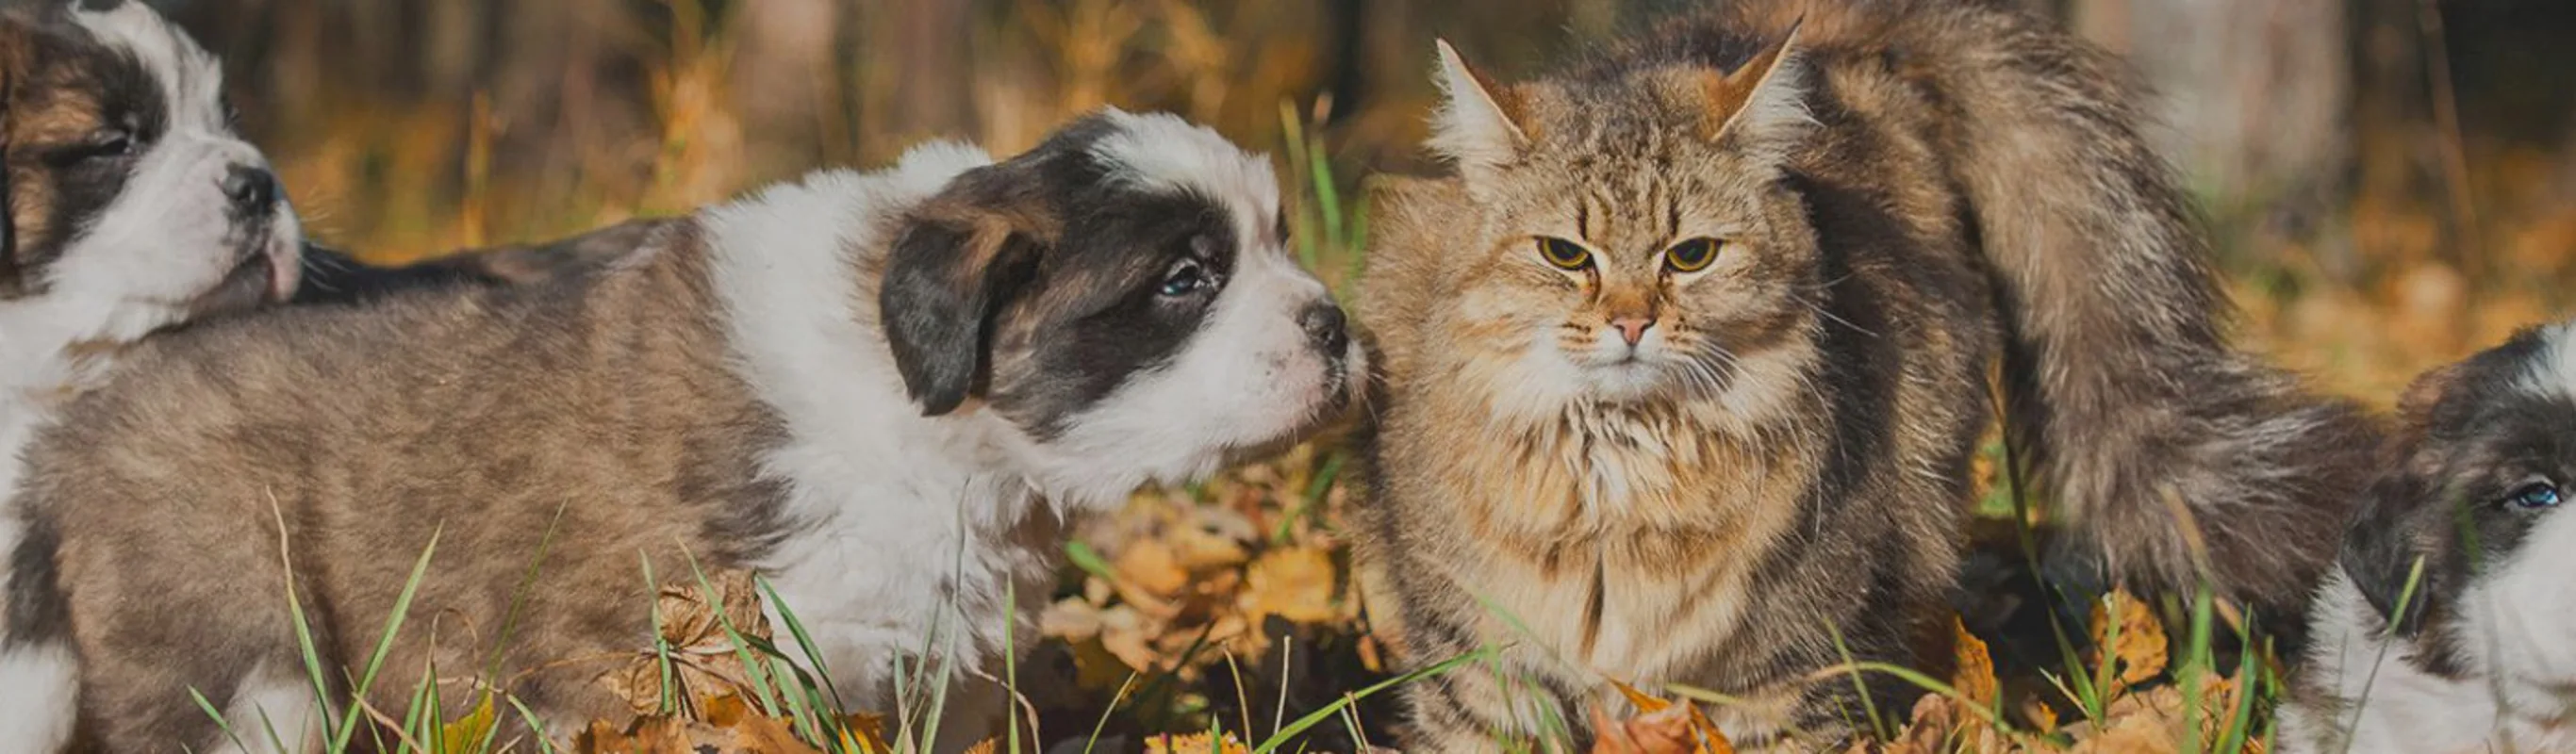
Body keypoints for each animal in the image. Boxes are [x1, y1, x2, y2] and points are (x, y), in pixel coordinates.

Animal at [5, 108, 1370, 746]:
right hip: (241, 656)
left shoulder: (941, 657)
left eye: (1280, 238)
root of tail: (78, 423)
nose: (1336, 326)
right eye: (1185, 280)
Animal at [1349, 0, 2370, 746]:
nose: (1630, 321)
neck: (1620, 487)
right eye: (1565, 254)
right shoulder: (1478, 667)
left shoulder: (1788, 668)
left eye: (1690, 255)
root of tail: (1834, 29)